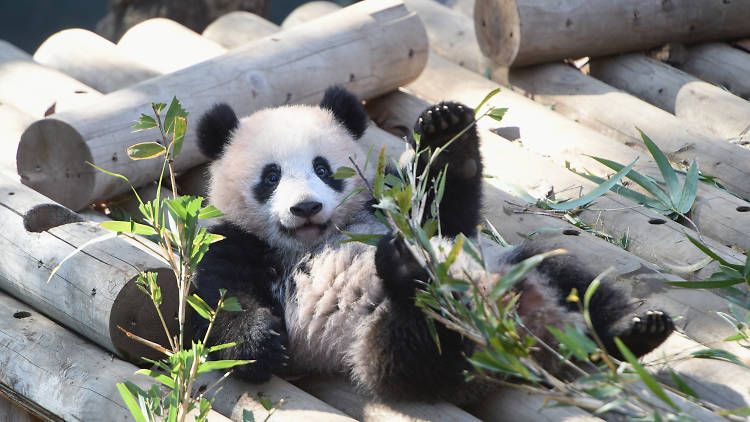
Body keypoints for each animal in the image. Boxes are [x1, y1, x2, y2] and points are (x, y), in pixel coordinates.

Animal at [192, 85, 676, 402]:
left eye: (324, 168)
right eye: (271, 176)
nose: (306, 207)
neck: (318, 238)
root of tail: (525, 339)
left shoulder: (388, 205)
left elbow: (445, 215)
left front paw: (448, 132)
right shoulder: (237, 243)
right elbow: (217, 305)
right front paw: (260, 343)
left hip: (512, 266)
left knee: (571, 277)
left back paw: (634, 328)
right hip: (377, 346)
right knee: (419, 347)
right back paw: (412, 276)